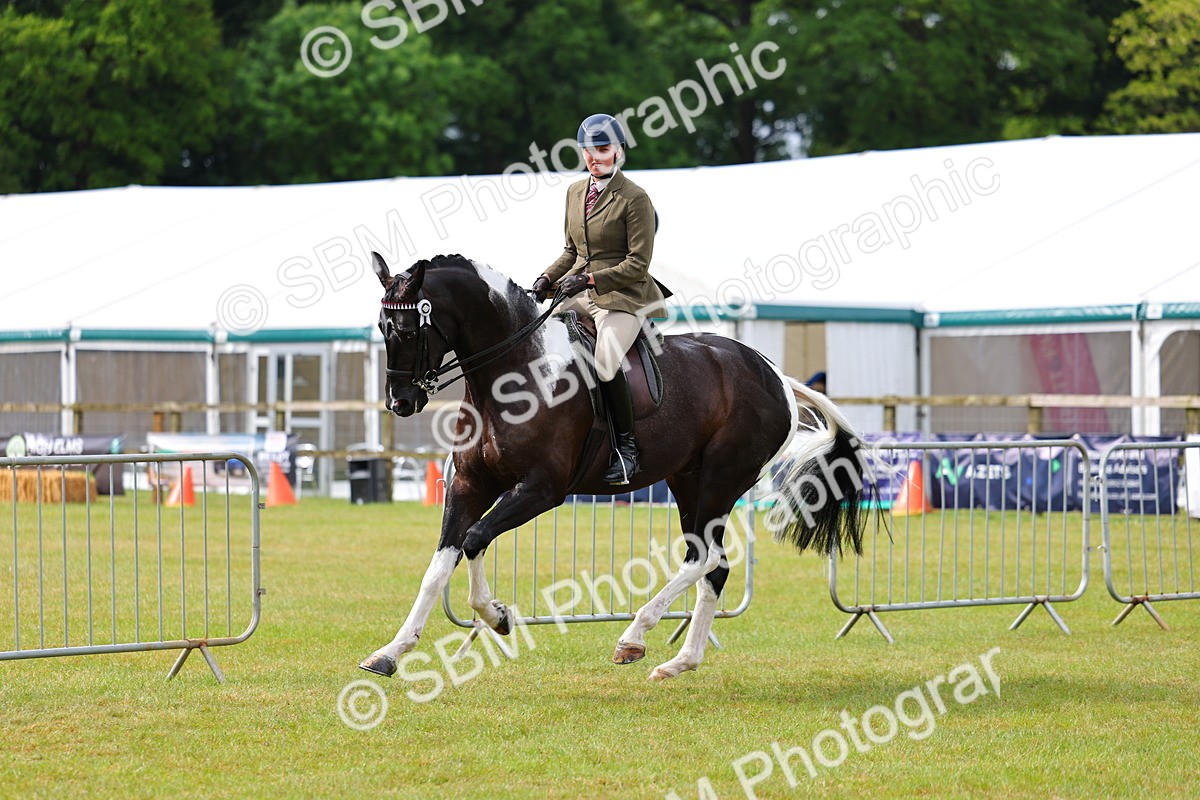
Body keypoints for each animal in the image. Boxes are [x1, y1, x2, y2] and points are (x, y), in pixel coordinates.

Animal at [359, 253, 872, 681]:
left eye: (407, 330)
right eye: (382, 327)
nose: (400, 402)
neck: (513, 372)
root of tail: (775, 374)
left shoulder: (541, 489)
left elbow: (473, 539)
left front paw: (497, 616)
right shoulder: (469, 484)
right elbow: (440, 565)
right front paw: (390, 652)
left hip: (721, 480)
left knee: (704, 557)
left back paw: (634, 636)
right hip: (687, 481)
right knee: (714, 565)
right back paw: (680, 661)